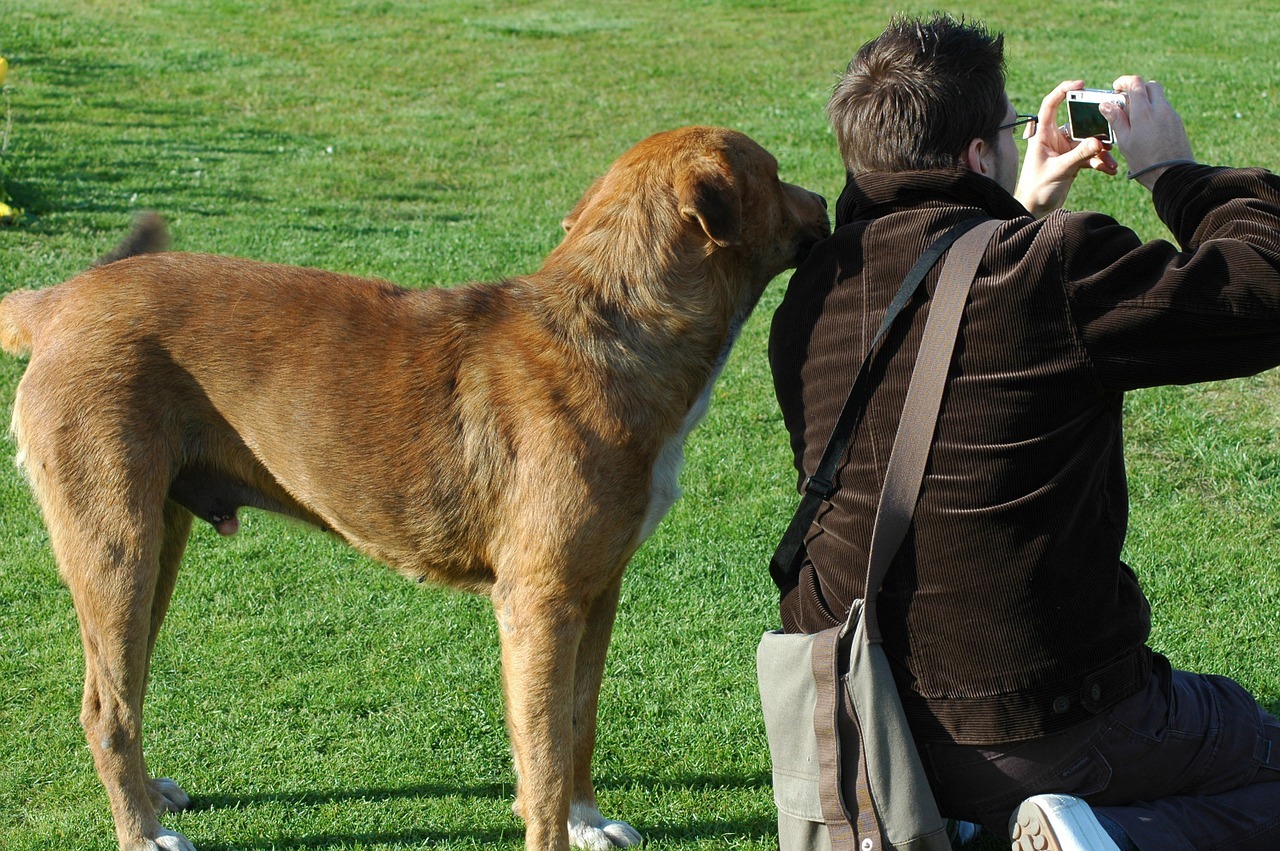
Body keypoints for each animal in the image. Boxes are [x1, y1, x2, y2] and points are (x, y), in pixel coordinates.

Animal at [2, 126, 829, 849]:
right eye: (776, 172)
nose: (826, 200)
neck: (617, 325)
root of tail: (58, 300)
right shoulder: (539, 603)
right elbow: (545, 753)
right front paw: (556, 825)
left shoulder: (596, 590)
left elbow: (575, 722)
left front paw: (586, 820)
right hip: (116, 543)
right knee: (105, 705)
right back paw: (141, 831)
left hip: (155, 543)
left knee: (127, 684)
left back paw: (150, 794)